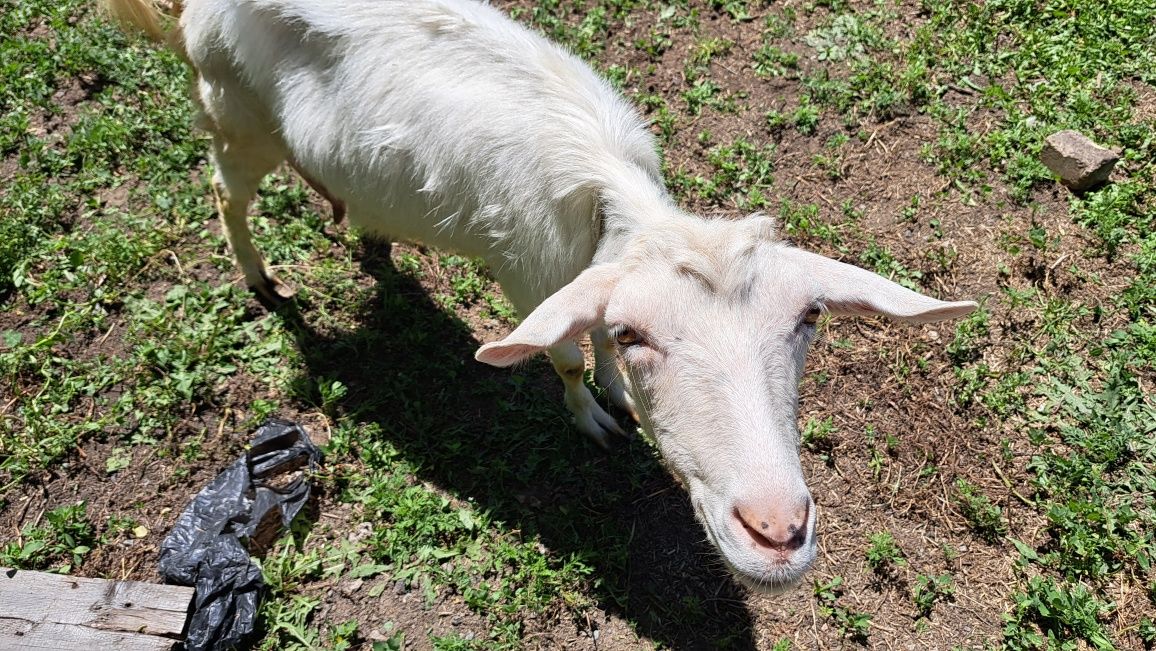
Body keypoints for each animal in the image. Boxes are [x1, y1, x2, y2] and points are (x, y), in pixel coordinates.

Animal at [106, 0, 975, 592]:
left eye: (809, 318)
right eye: (638, 333)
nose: (777, 532)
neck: (611, 197)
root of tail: (193, 13)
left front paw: (617, 395)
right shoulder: (534, 277)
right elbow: (563, 357)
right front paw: (592, 412)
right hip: (235, 118)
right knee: (225, 195)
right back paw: (259, 278)